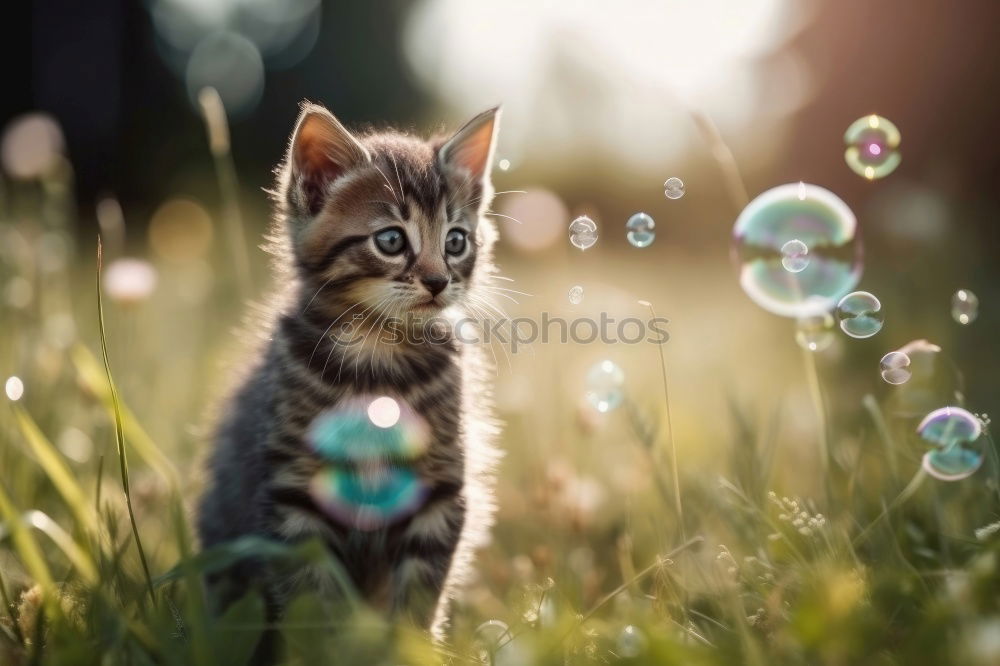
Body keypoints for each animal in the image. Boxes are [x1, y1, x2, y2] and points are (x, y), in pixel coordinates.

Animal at [196, 102, 504, 640]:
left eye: (456, 241)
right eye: (391, 240)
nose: (438, 280)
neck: (379, 352)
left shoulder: (438, 490)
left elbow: (418, 596)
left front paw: (409, 646)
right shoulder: (297, 494)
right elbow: (314, 601)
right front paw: (327, 647)